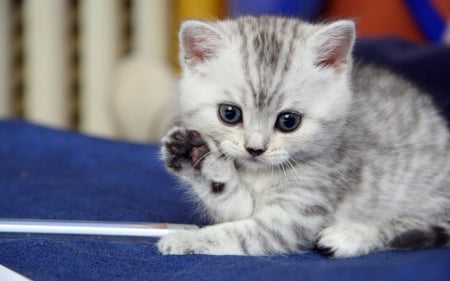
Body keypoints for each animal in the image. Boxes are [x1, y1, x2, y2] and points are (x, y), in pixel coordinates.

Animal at [156, 14, 448, 256]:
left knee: (408, 225)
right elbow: (234, 207)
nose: (255, 149)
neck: (258, 175)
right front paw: (199, 160)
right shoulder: (243, 206)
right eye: (229, 114)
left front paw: (187, 239)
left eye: (289, 121)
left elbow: (238, 234)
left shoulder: (300, 213)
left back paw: (351, 235)